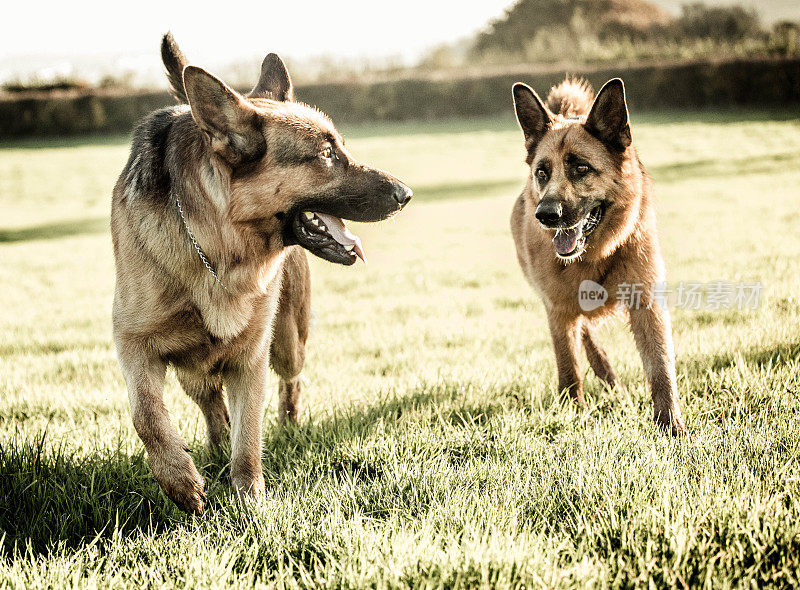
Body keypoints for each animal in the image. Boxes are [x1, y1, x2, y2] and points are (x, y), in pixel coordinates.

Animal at [111, 37, 412, 516]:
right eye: (327, 154)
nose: (406, 194)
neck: (216, 252)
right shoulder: (133, 342)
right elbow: (147, 415)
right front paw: (178, 478)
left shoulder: (250, 358)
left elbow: (249, 439)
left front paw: (250, 502)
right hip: (191, 369)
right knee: (208, 400)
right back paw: (213, 444)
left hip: (287, 341)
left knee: (291, 381)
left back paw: (287, 425)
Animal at [512, 77, 688, 434]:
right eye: (542, 173)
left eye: (581, 168)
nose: (546, 215)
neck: (595, 256)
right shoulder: (557, 310)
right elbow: (568, 365)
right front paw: (572, 412)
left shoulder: (648, 305)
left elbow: (661, 367)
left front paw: (670, 425)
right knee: (585, 339)